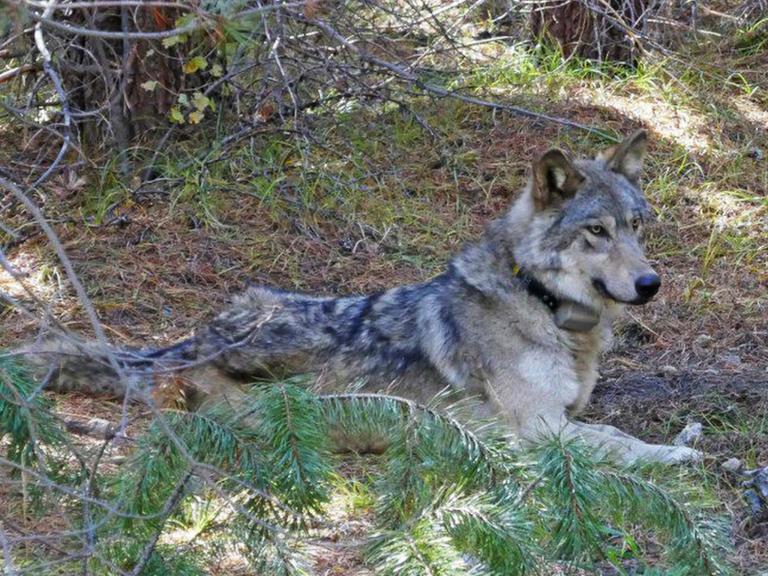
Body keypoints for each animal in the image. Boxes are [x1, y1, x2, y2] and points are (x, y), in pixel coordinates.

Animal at [19, 130, 701, 464]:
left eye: (637, 226)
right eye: (597, 232)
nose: (650, 284)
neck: (543, 304)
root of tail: (189, 342)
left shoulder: (565, 414)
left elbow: (609, 426)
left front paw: (685, 436)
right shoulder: (538, 429)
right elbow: (619, 443)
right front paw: (675, 454)